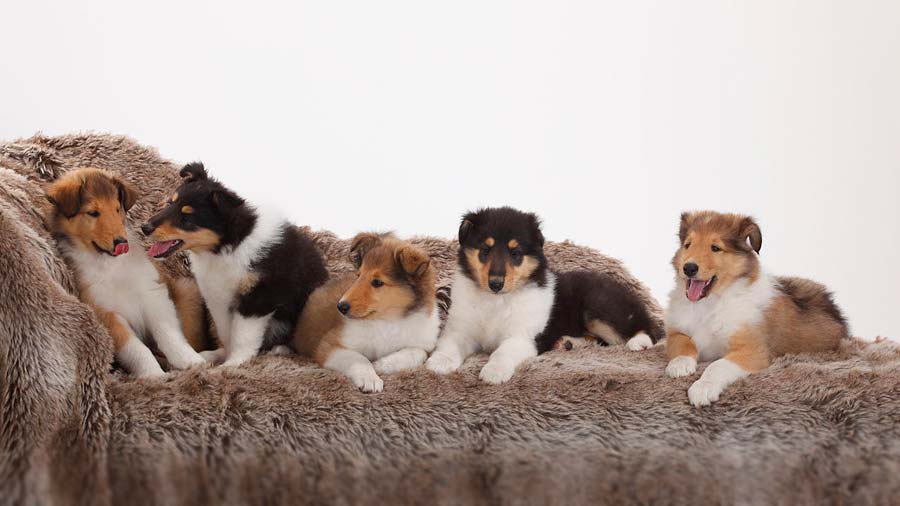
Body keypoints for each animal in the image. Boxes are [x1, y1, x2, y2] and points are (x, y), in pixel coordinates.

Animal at [47, 168, 207, 378]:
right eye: (92, 213)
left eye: (117, 209)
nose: (121, 242)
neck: (110, 266)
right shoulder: (107, 314)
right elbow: (136, 349)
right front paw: (153, 375)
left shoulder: (153, 294)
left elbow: (167, 332)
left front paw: (188, 360)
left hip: (187, 292)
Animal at [139, 164, 326, 366]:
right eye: (169, 203)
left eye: (187, 218)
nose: (145, 227)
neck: (227, 247)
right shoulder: (217, 297)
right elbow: (226, 333)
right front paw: (223, 359)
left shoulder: (258, 298)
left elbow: (243, 336)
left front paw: (234, 364)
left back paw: (279, 350)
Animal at [292, 231, 440, 394]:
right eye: (358, 275)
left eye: (377, 282)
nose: (340, 306)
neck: (388, 320)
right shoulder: (329, 345)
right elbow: (359, 358)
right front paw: (370, 379)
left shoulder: (425, 345)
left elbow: (417, 352)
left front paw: (382, 364)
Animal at [426, 206, 664, 384]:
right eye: (485, 250)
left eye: (516, 253)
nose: (495, 284)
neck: (496, 301)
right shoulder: (460, 329)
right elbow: (449, 345)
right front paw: (438, 363)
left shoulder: (522, 336)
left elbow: (502, 352)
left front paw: (494, 372)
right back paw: (567, 343)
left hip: (599, 307)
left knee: (648, 328)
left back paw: (639, 342)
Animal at [664, 211, 848, 408]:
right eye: (687, 245)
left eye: (715, 248)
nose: (688, 268)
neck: (710, 303)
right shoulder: (675, 331)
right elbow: (683, 342)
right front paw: (680, 364)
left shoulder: (752, 350)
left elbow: (717, 365)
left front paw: (702, 388)